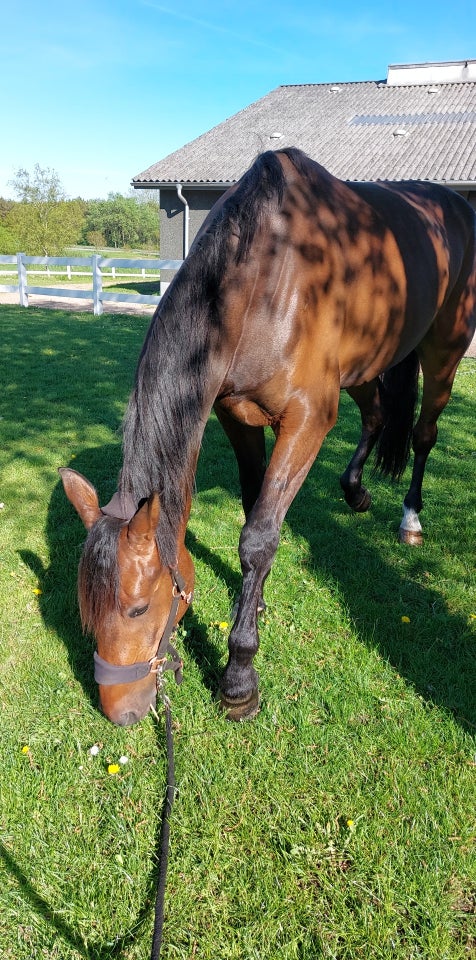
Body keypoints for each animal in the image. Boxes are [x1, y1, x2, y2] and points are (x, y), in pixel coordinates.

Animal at [60, 146, 476, 724]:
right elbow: (254, 509)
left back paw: (410, 518)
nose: (119, 710)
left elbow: (259, 537)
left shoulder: (307, 421)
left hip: (444, 352)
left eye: (138, 608)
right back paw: (355, 490)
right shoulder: (237, 415)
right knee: (374, 416)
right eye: (85, 608)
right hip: (362, 367)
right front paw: (252, 602)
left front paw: (239, 677)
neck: (266, 283)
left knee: (423, 435)